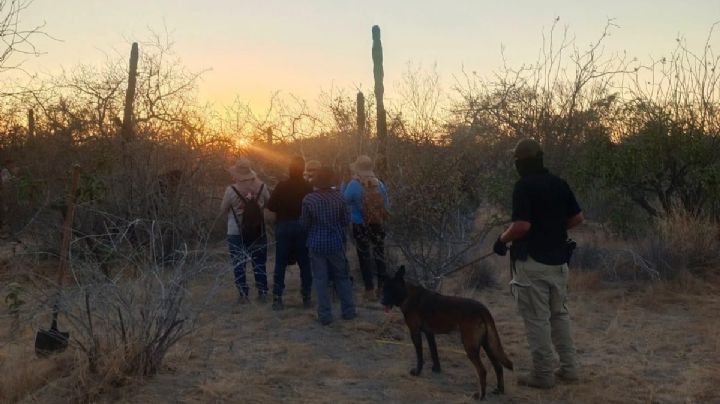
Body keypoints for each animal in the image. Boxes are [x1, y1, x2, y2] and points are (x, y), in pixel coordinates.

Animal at [382, 266, 512, 400]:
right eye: (383, 289)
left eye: (391, 289)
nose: (382, 302)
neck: (406, 294)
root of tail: (483, 309)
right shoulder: (429, 334)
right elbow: (434, 353)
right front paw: (436, 369)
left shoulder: (415, 332)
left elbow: (420, 356)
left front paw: (417, 372)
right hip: (487, 345)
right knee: (498, 366)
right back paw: (499, 390)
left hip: (470, 346)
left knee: (482, 371)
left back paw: (480, 396)